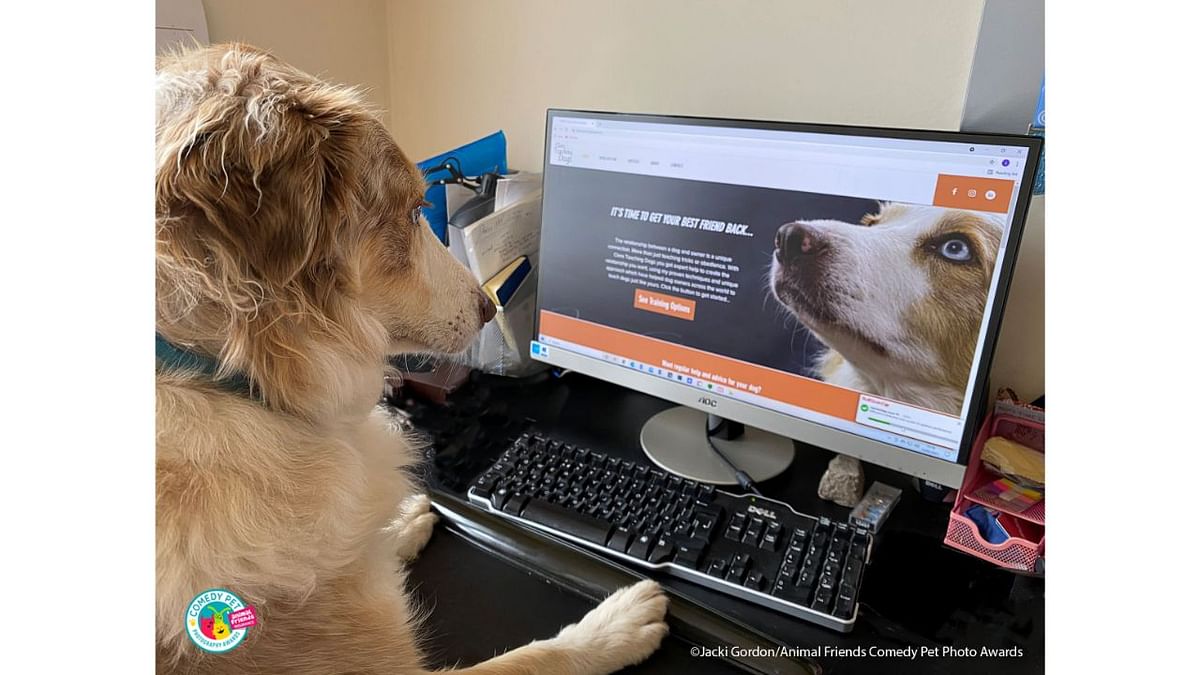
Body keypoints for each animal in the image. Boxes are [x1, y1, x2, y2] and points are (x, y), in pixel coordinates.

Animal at [154, 44, 672, 667]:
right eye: (410, 211)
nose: (489, 306)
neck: (229, 376)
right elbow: (534, 656)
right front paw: (616, 625)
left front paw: (403, 520)